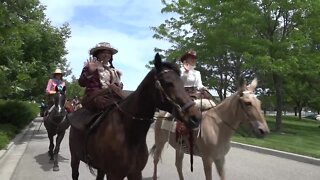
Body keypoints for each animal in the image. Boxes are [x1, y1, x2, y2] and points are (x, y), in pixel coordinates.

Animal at [68, 53, 201, 180]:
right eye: (168, 83)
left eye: (183, 83)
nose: (196, 117)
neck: (129, 133)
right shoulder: (114, 175)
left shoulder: (135, 172)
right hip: (75, 157)